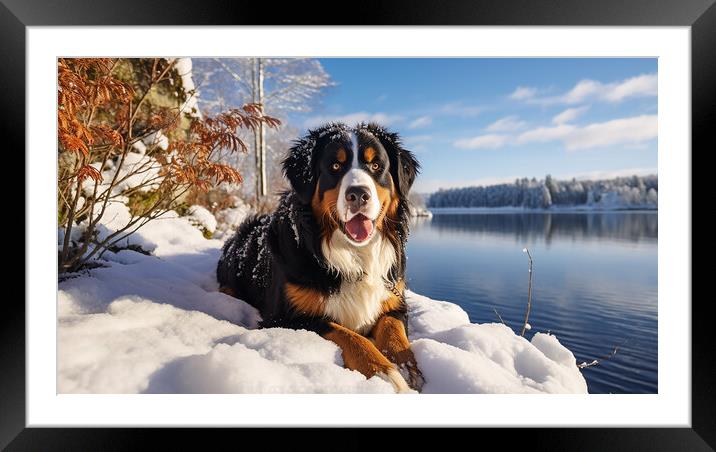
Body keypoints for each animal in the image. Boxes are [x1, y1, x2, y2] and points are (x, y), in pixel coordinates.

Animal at [215, 122, 422, 392]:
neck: (353, 255)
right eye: (335, 166)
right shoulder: (285, 317)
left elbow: (392, 329)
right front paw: (385, 373)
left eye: (377, 166)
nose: (359, 194)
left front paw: (407, 368)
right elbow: (347, 334)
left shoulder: (394, 300)